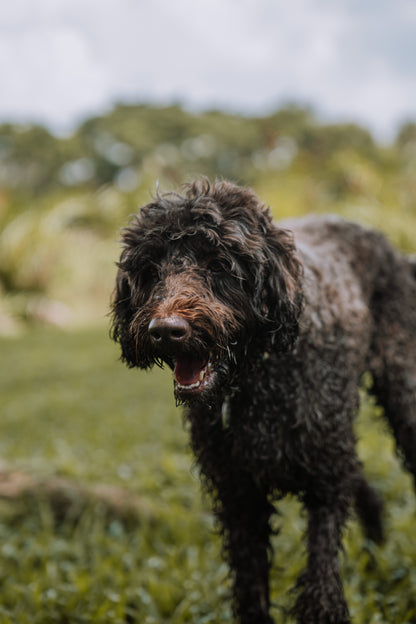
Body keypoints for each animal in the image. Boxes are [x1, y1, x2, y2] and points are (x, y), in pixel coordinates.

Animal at [110, 178, 416, 620]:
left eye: (219, 264)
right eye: (150, 269)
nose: (166, 330)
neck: (256, 382)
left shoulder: (325, 483)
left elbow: (321, 589)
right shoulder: (240, 499)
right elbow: (250, 591)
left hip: (400, 399)